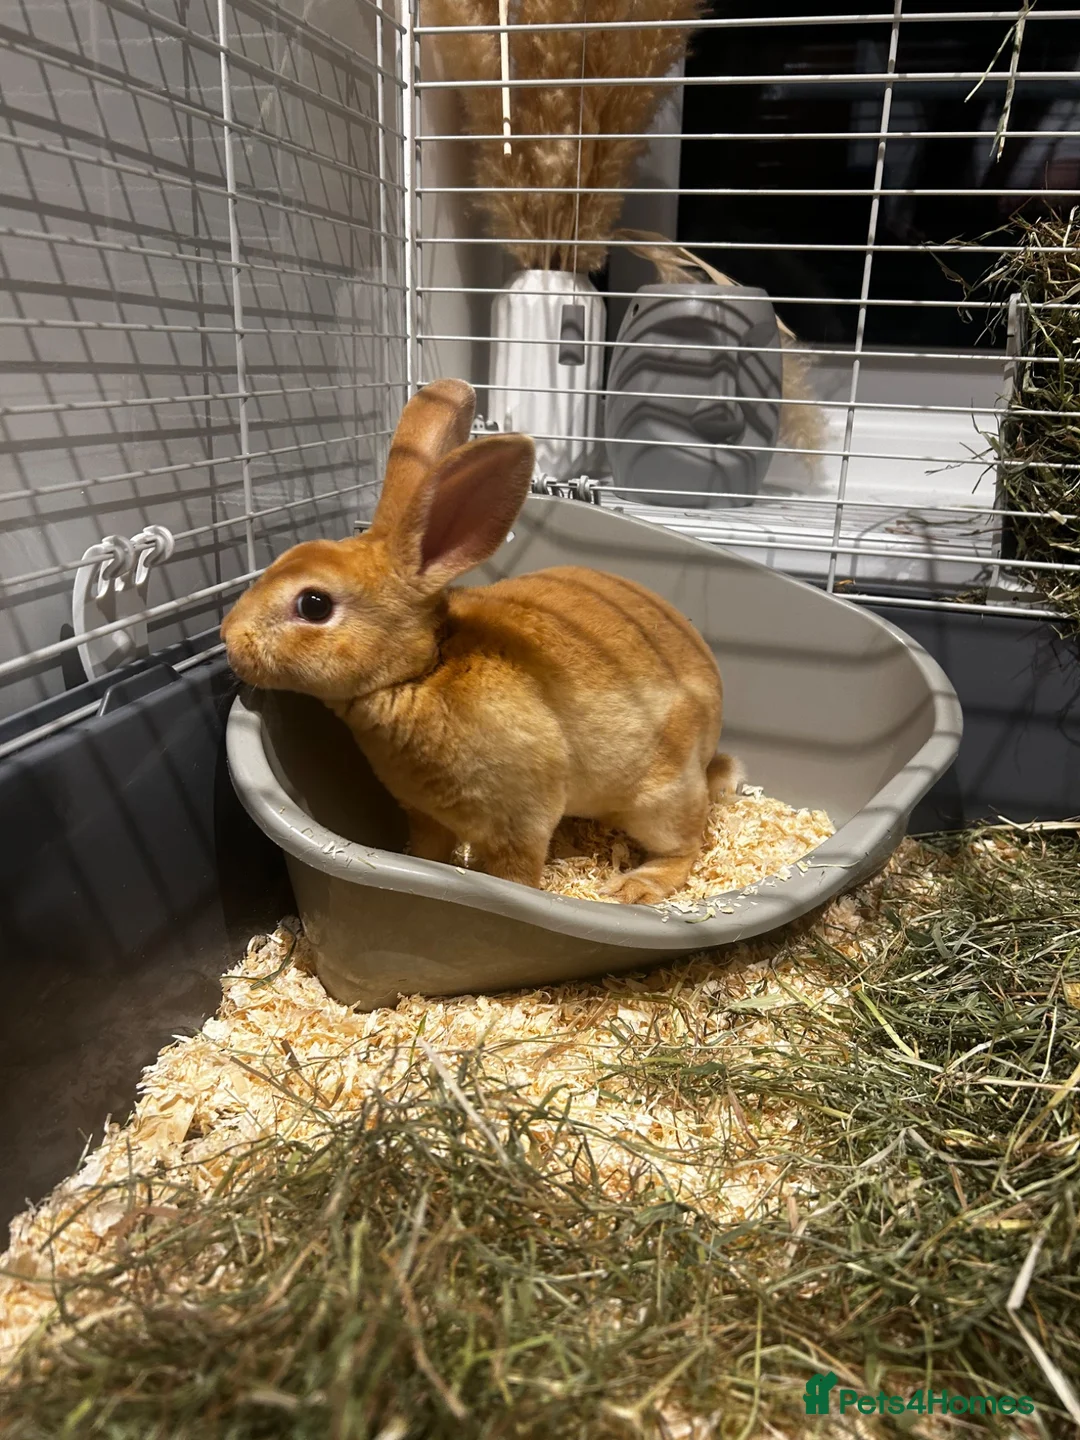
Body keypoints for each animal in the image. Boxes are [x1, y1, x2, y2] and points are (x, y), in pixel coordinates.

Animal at [220, 378, 742, 905]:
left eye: (314, 605)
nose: (228, 638)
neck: (427, 668)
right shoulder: (426, 815)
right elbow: (428, 852)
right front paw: (419, 864)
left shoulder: (520, 823)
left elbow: (515, 875)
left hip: (660, 798)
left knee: (684, 845)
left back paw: (634, 888)